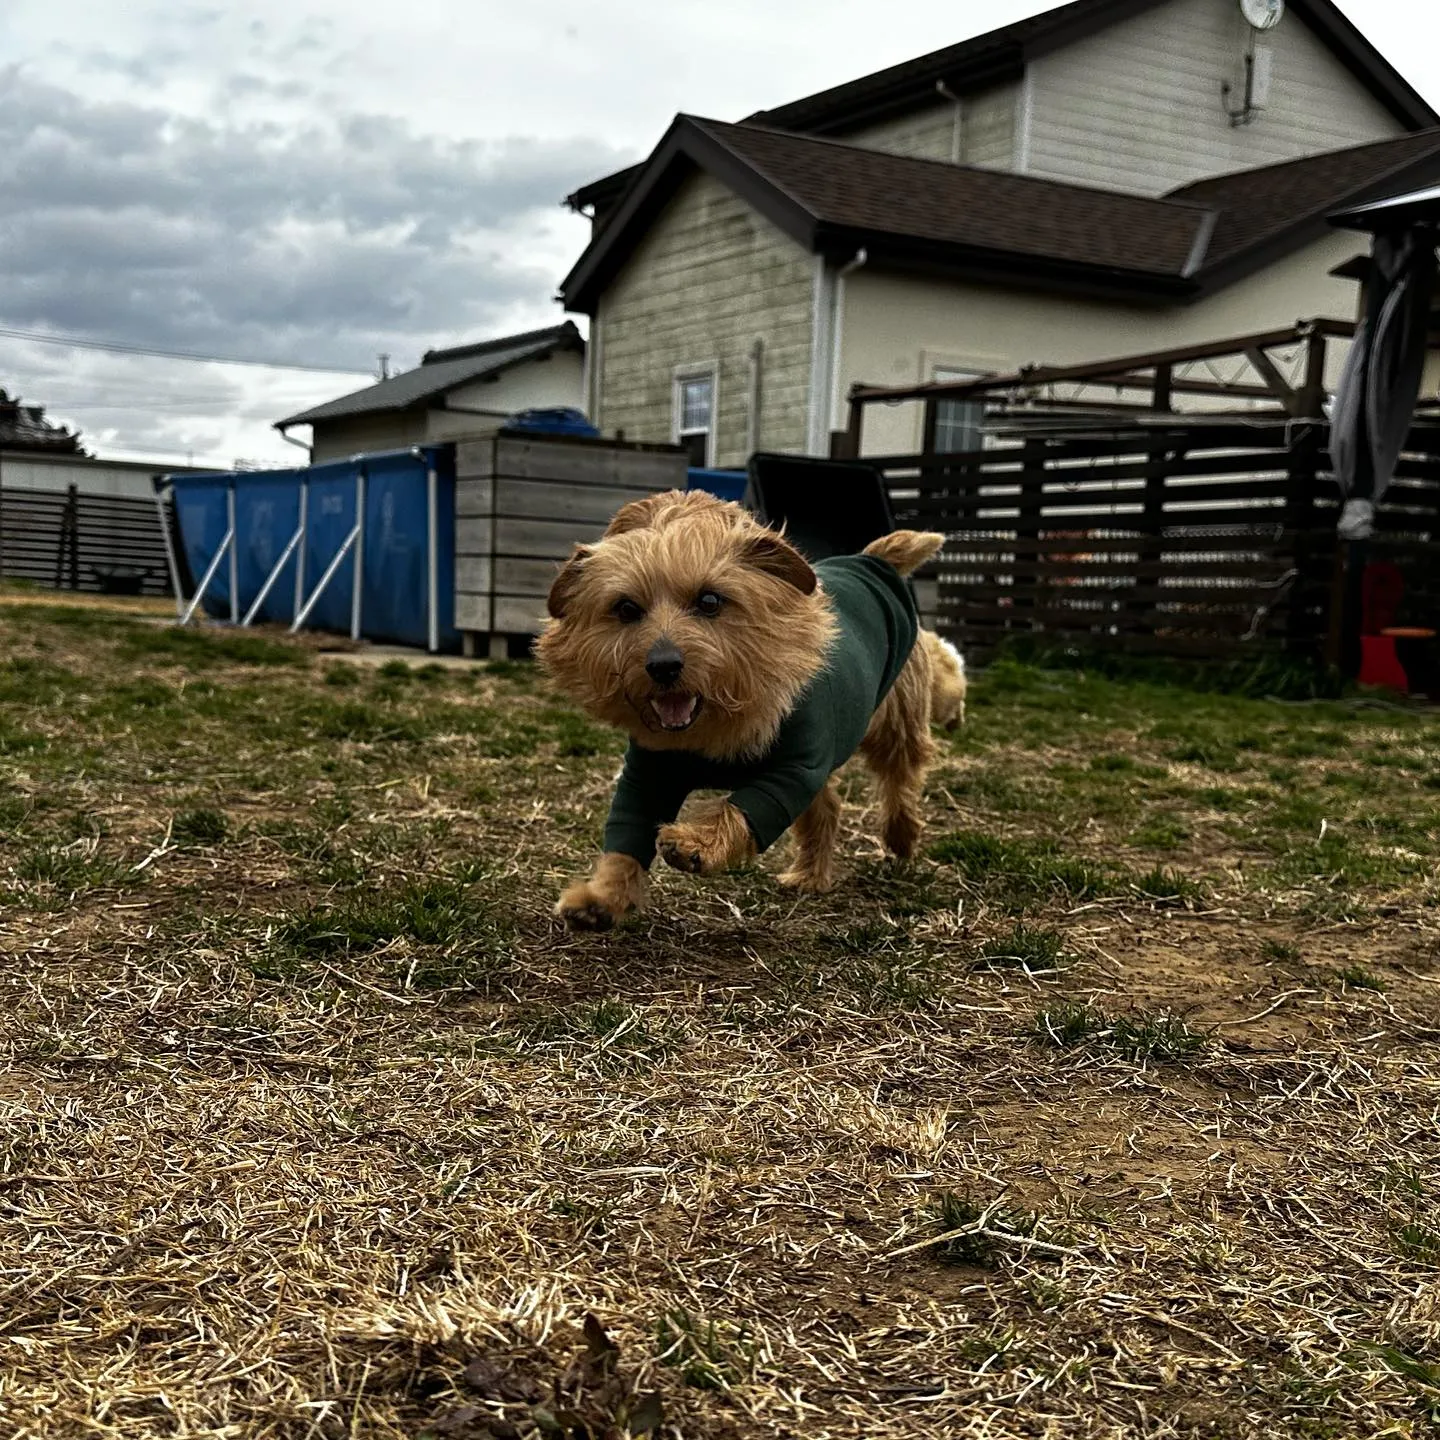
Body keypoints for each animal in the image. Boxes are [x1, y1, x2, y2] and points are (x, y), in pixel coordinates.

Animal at [535, 486, 950, 933]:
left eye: (709, 600)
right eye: (626, 608)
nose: (663, 665)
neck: (714, 725)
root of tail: (871, 559)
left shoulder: (793, 768)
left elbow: (743, 807)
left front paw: (696, 842)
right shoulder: (647, 773)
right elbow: (627, 831)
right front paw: (603, 898)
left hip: (897, 720)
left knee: (900, 777)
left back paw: (901, 836)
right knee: (827, 807)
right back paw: (810, 875)